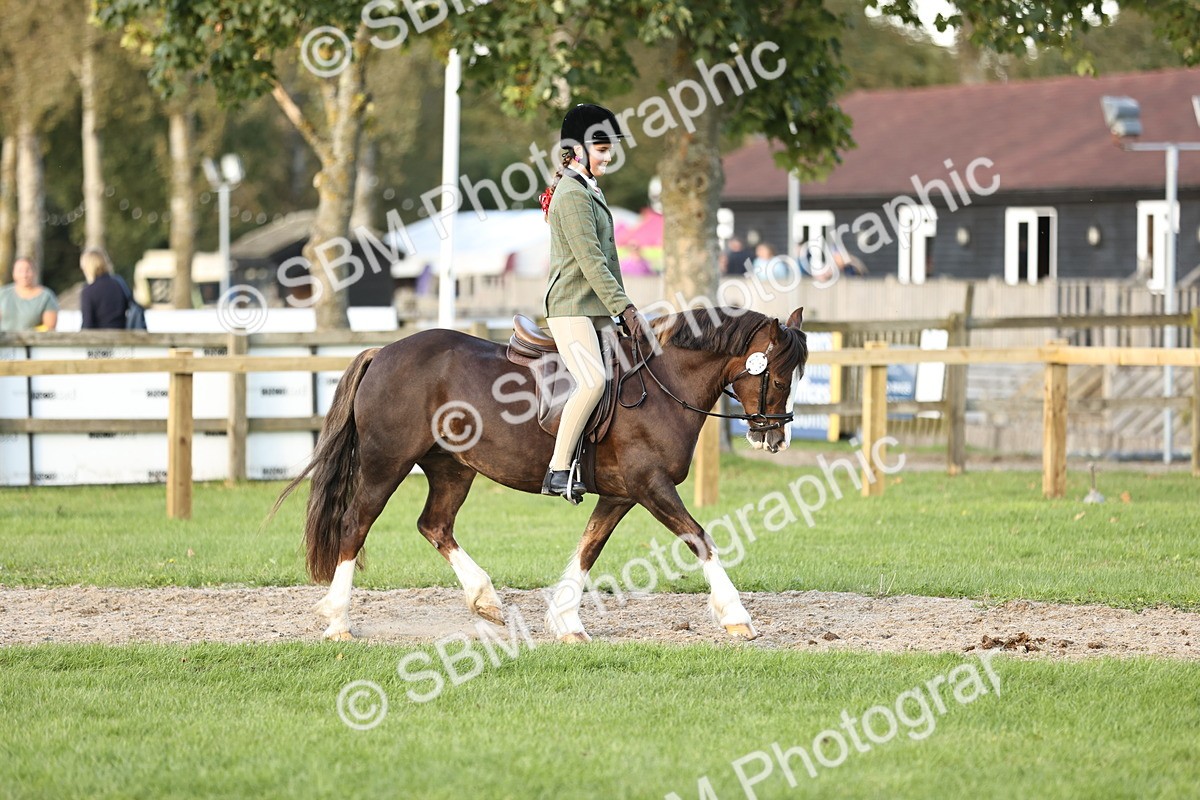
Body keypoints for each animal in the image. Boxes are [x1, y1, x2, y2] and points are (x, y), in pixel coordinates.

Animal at [275, 305, 808, 642]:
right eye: (778, 376)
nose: (775, 438)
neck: (661, 385)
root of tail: (383, 352)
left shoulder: (621, 494)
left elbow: (589, 548)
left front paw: (567, 623)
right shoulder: (650, 486)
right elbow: (700, 538)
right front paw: (737, 617)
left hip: (452, 468)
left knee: (435, 525)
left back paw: (485, 600)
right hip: (386, 463)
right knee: (354, 526)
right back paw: (339, 621)